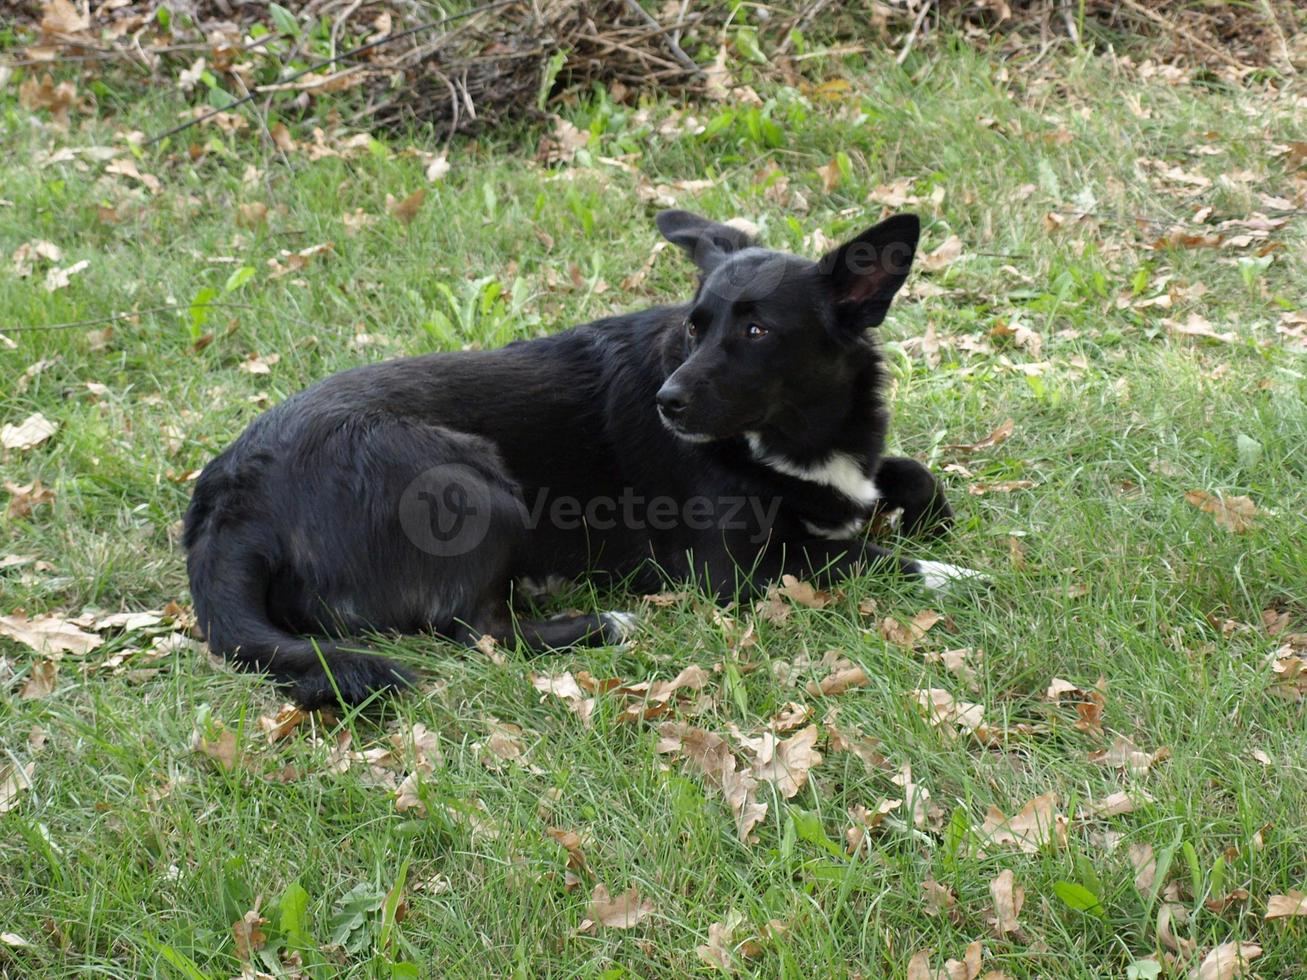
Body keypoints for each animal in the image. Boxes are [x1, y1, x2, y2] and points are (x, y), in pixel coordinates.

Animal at [186, 212, 982, 705]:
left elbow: (911, 477)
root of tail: (229, 506)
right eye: (694, 328)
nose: (667, 403)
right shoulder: (732, 573)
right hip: (470, 479)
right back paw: (601, 624)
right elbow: (861, 558)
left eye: (756, 330)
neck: (795, 436)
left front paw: (925, 522)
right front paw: (955, 573)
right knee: (474, 630)